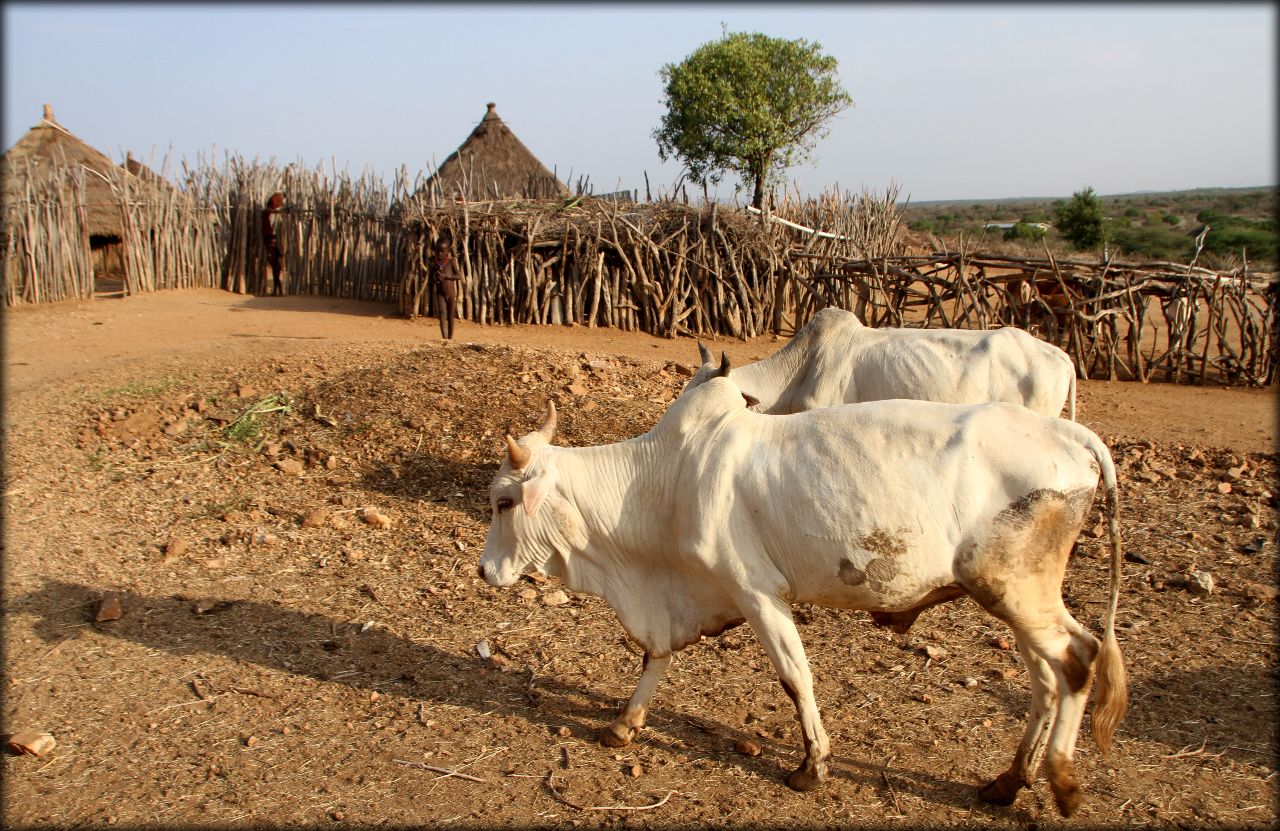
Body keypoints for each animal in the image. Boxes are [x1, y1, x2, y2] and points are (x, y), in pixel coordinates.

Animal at [476, 358, 1126, 814]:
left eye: (504, 502)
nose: (484, 571)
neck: (663, 481)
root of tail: (1073, 437)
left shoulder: (755, 591)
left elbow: (795, 676)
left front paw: (812, 767)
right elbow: (654, 657)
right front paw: (622, 725)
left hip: (1014, 588)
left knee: (1078, 657)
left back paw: (1063, 782)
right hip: (1014, 598)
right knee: (1046, 678)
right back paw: (1008, 781)